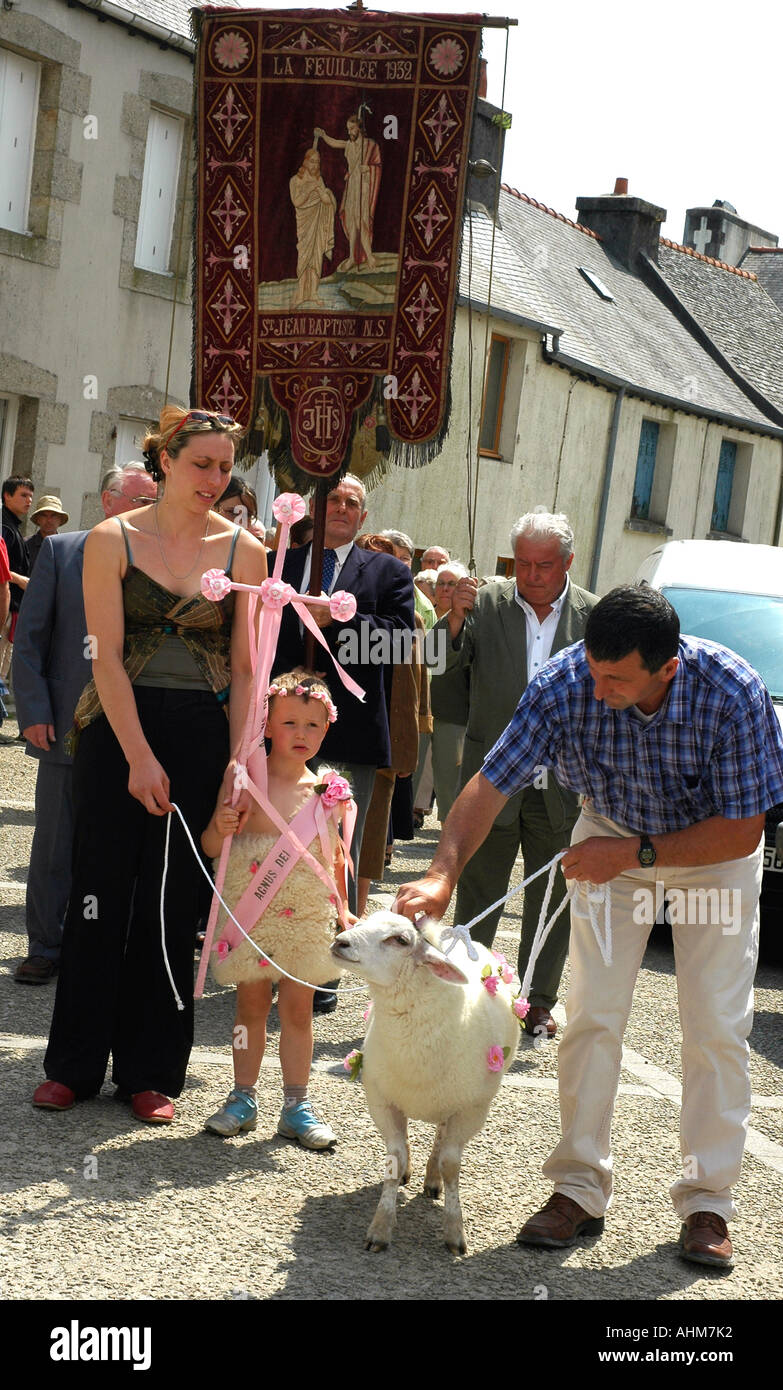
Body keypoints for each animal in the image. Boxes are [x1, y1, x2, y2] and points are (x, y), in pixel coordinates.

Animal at [331, 906, 520, 1256]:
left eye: (400, 940)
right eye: (364, 921)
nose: (340, 941)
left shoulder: (470, 1111)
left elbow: (451, 1165)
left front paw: (454, 1231)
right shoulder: (382, 1100)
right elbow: (394, 1158)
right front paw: (381, 1227)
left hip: (452, 1099)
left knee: (441, 1138)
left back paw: (433, 1179)